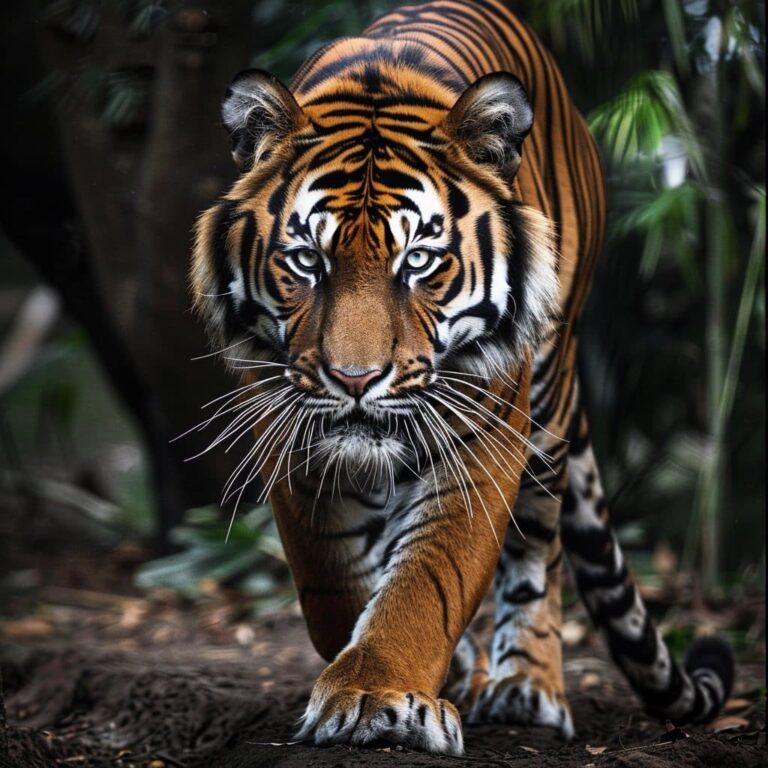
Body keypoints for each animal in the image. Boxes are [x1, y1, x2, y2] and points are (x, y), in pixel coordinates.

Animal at [191, 0, 733, 755]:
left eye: (418, 261)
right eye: (305, 260)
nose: (354, 380)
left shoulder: (484, 431)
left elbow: (432, 574)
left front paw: (376, 695)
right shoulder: (290, 426)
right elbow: (331, 576)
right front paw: (387, 674)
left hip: (549, 412)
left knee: (538, 551)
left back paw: (526, 689)